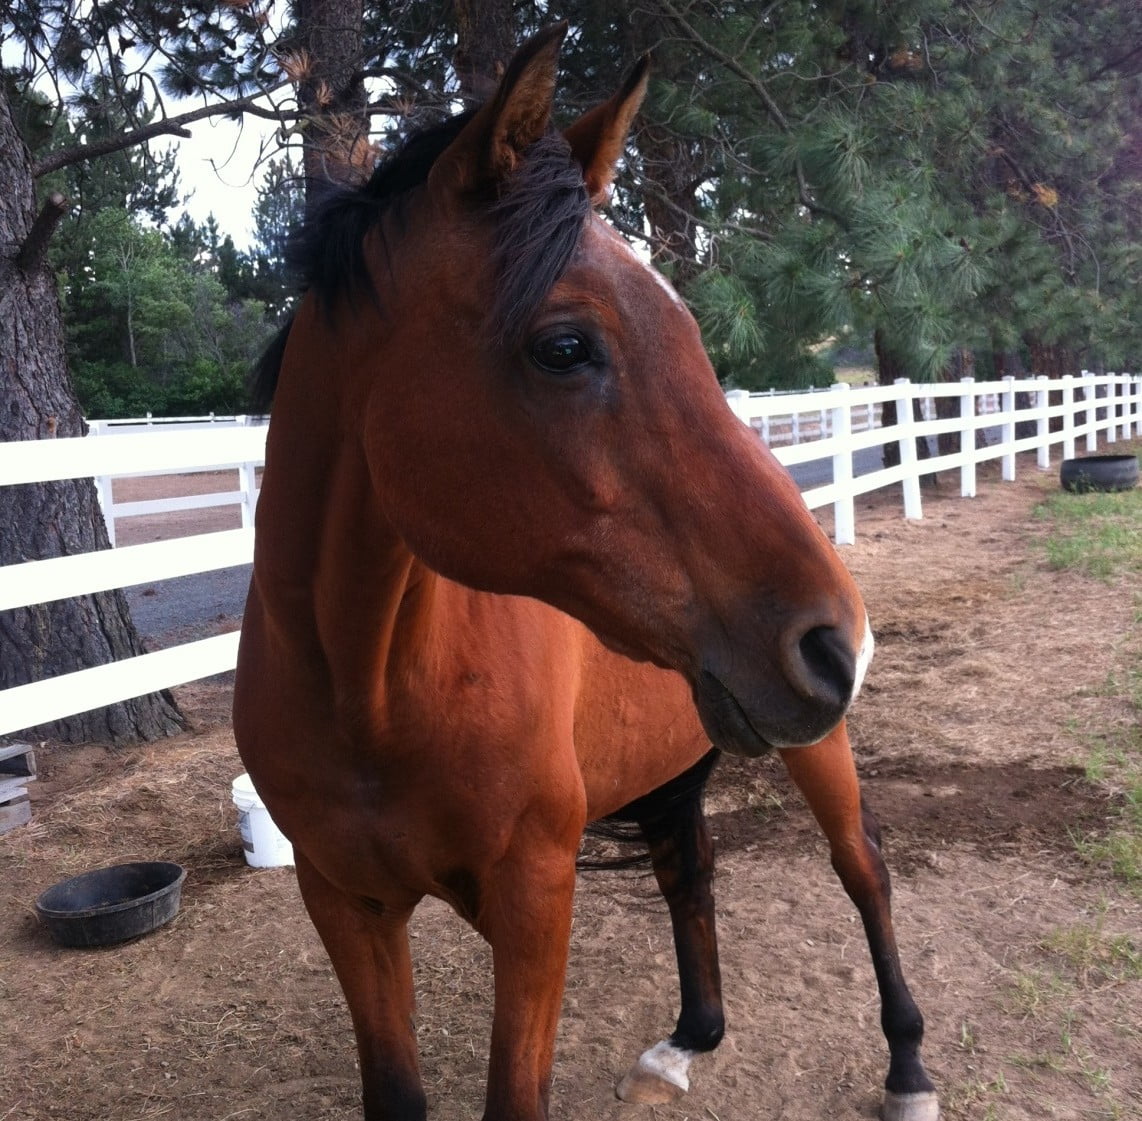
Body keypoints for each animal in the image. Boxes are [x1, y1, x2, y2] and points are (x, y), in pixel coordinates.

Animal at [233, 24, 938, 1121]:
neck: (368, 692)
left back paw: (906, 1065)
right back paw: (688, 1038)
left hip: (816, 747)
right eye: (565, 345)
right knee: (688, 868)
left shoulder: (534, 899)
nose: (837, 641)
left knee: (861, 868)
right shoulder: (345, 902)